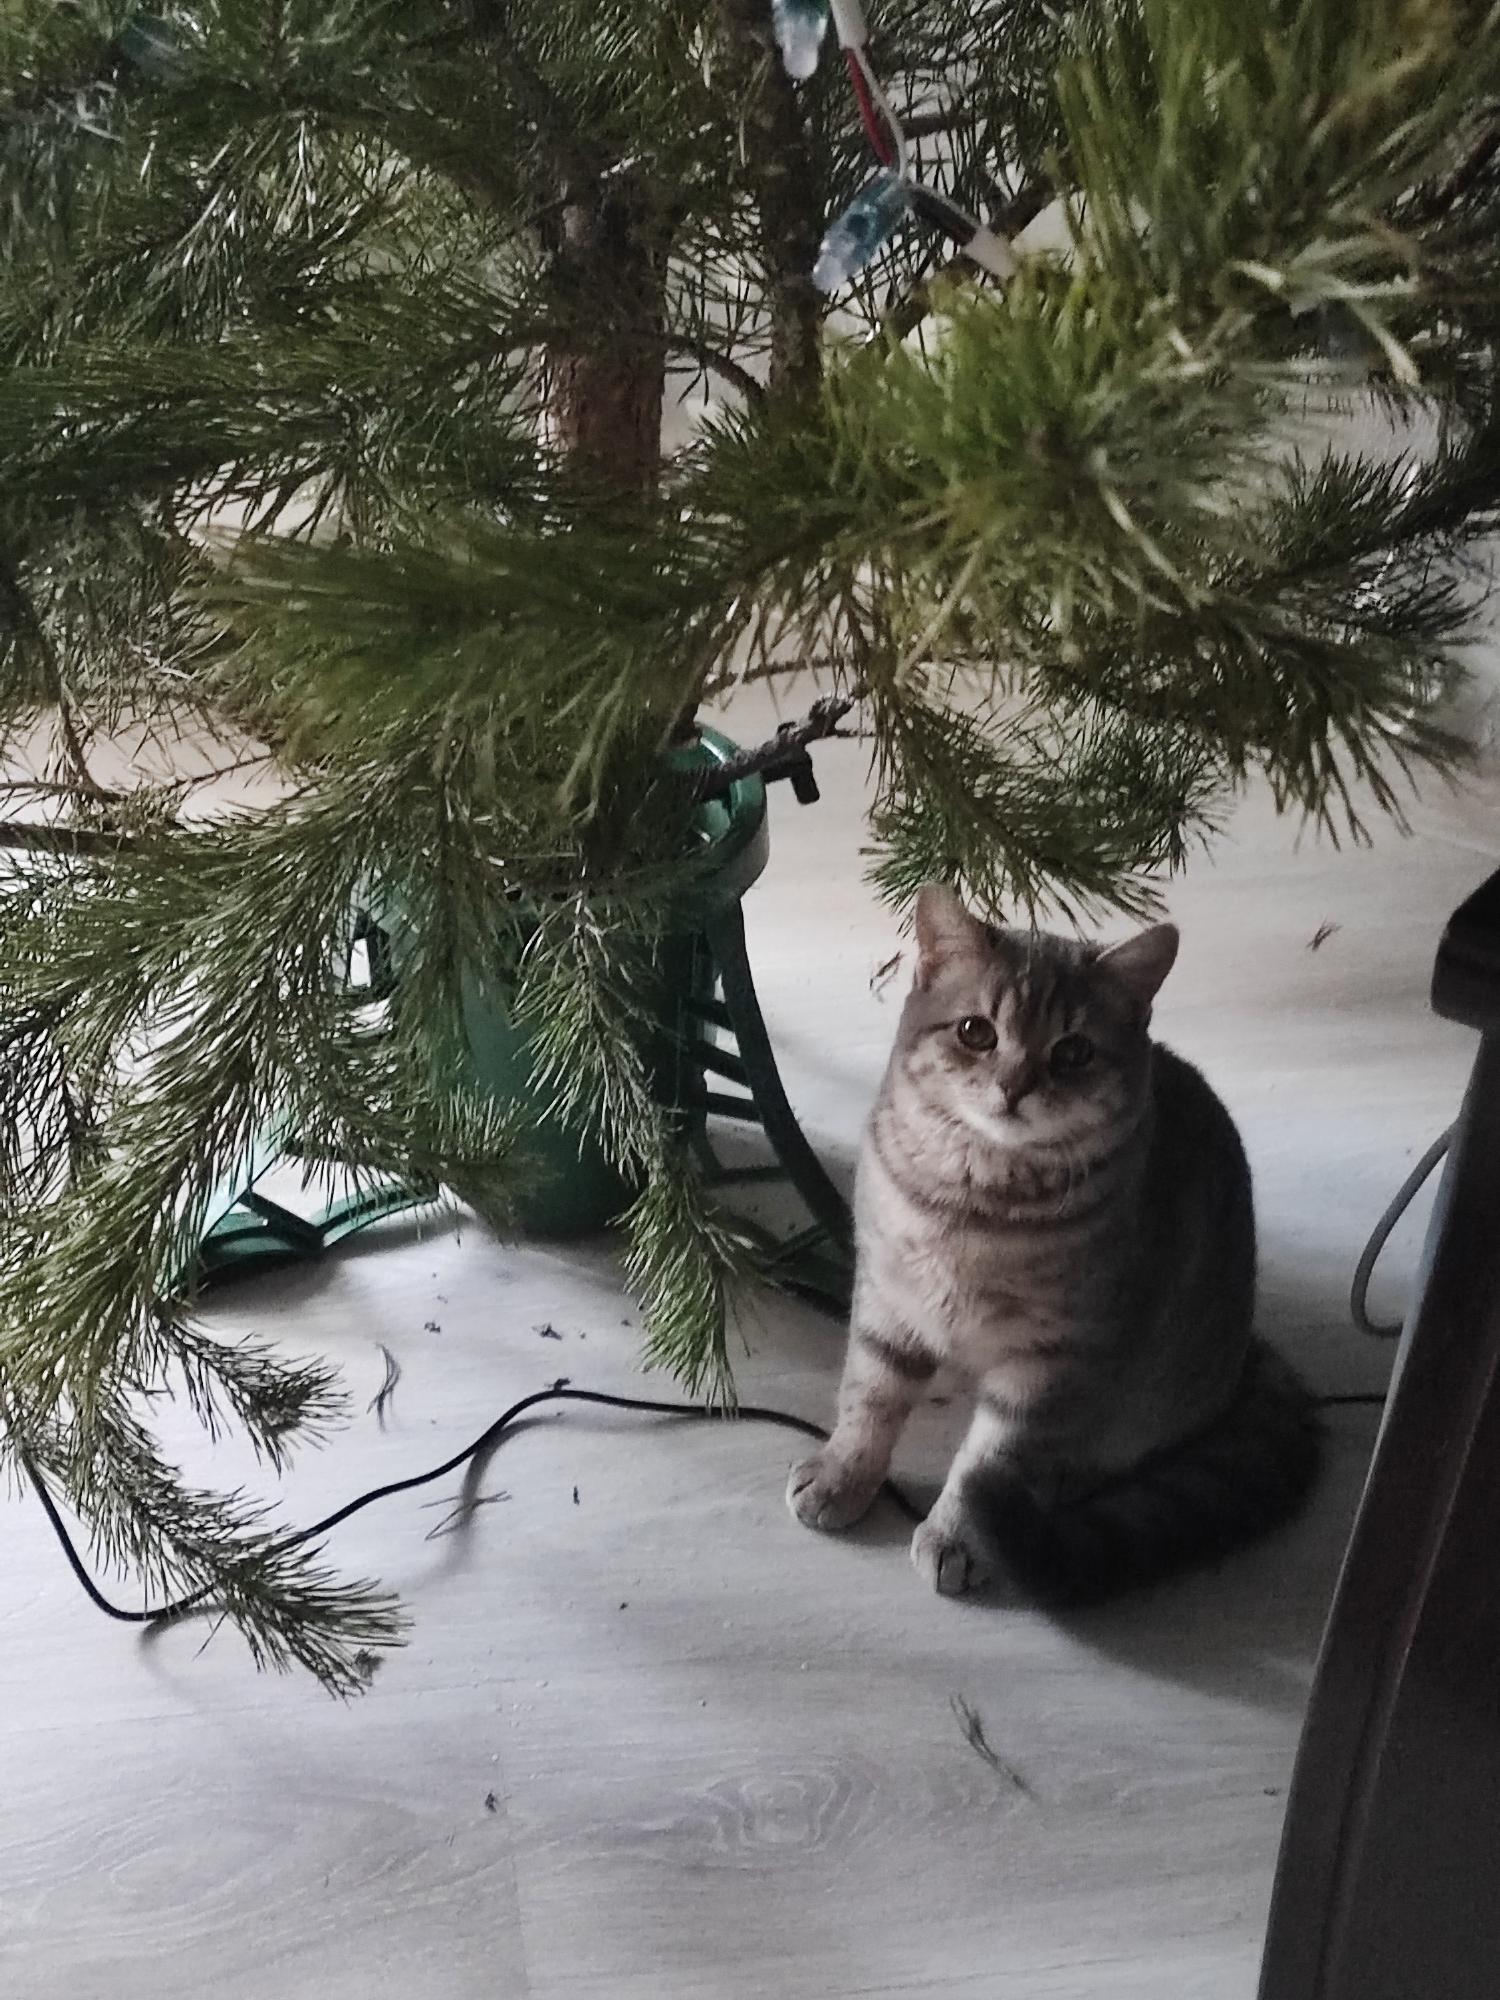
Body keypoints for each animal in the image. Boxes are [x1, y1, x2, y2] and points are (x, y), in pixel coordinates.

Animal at [787, 882, 1320, 1604]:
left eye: (1074, 1053)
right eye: (975, 1032)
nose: (1014, 1086)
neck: (975, 1205)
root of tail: (1249, 1355)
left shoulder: (1053, 1358)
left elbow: (989, 1459)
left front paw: (959, 1538)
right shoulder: (887, 1301)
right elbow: (868, 1399)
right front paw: (842, 1476)